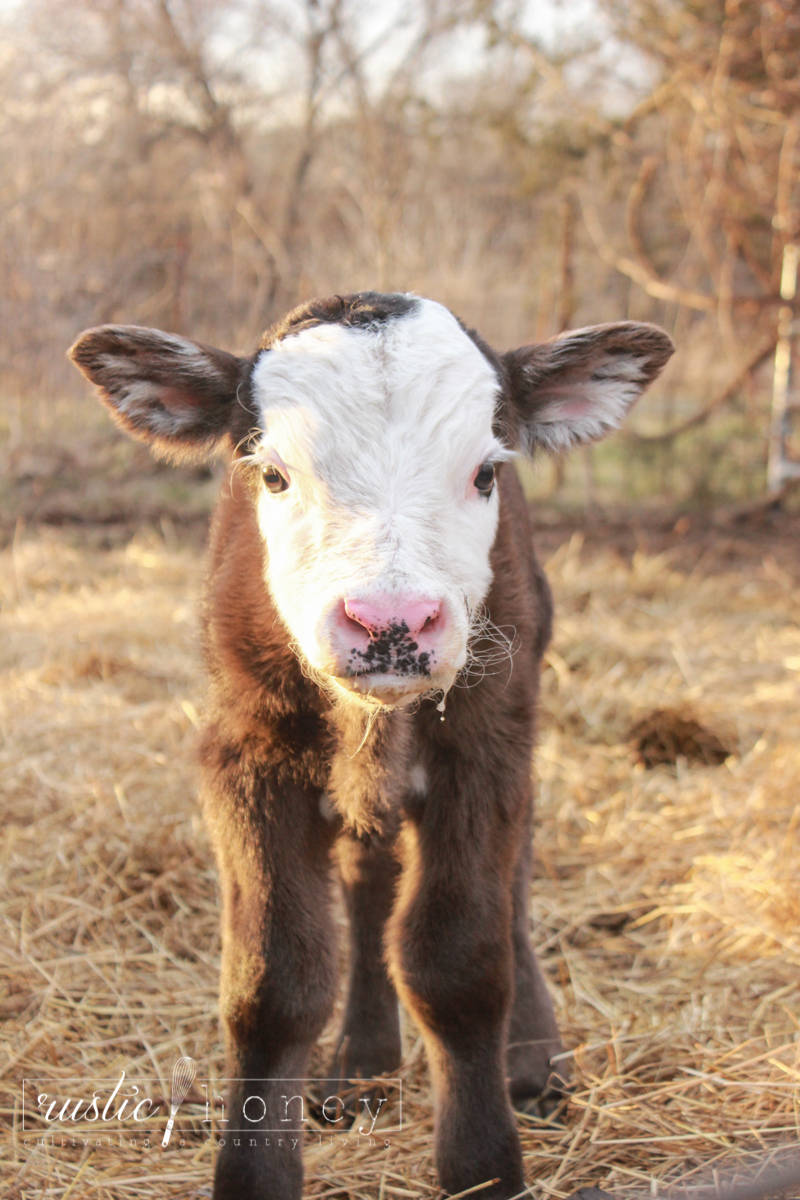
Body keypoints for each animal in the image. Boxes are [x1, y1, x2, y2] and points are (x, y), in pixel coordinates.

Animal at [70, 292, 676, 1200]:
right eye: (273, 475)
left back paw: (532, 1062)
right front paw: (256, 1170)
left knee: (513, 883)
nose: (391, 623)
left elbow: (459, 963)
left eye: (485, 473)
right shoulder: (246, 757)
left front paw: (481, 1165)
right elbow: (273, 983)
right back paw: (361, 1063)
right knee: (367, 880)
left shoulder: (485, 749)